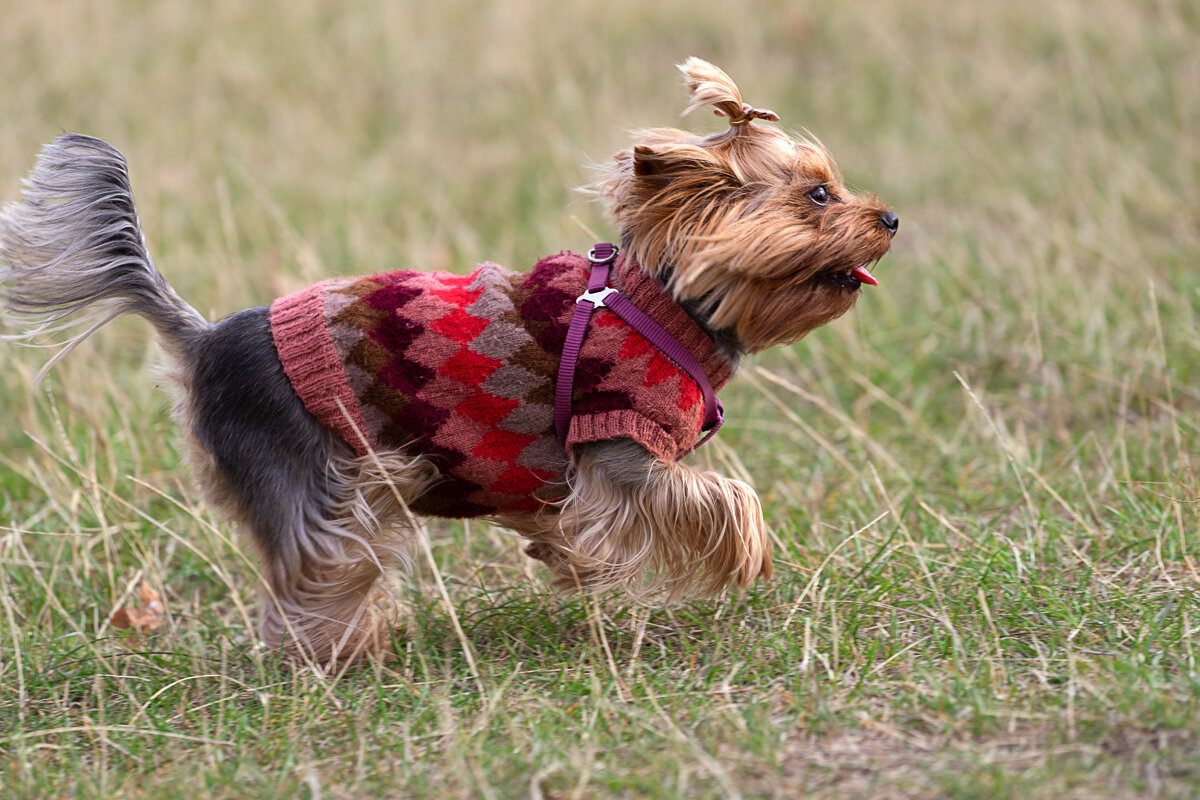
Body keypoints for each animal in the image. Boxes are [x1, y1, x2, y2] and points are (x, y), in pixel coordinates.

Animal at [0, 61, 897, 662]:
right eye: (818, 196)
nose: (890, 217)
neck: (663, 298)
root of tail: (205, 339)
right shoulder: (620, 443)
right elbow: (724, 500)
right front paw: (747, 558)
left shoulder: (567, 473)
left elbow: (566, 526)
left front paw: (565, 562)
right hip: (332, 476)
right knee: (314, 570)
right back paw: (341, 647)